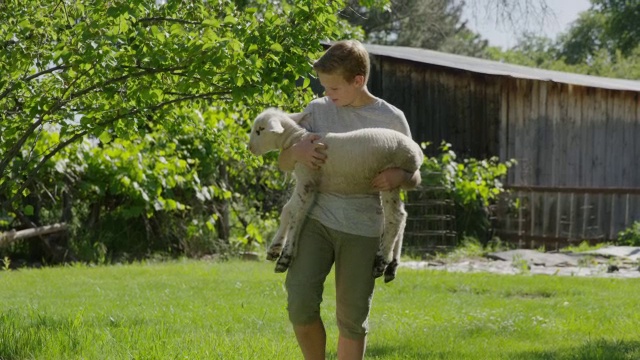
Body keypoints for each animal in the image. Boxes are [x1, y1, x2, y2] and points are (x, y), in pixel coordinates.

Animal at [248, 108, 422, 282]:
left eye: (259, 130)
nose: (249, 148)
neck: (296, 139)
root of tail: (417, 153)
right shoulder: (307, 182)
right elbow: (287, 210)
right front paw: (275, 249)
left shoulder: (307, 179)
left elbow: (296, 215)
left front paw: (285, 257)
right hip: (394, 183)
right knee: (402, 216)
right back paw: (392, 266)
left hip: (389, 178)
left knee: (395, 218)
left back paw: (381, 261)